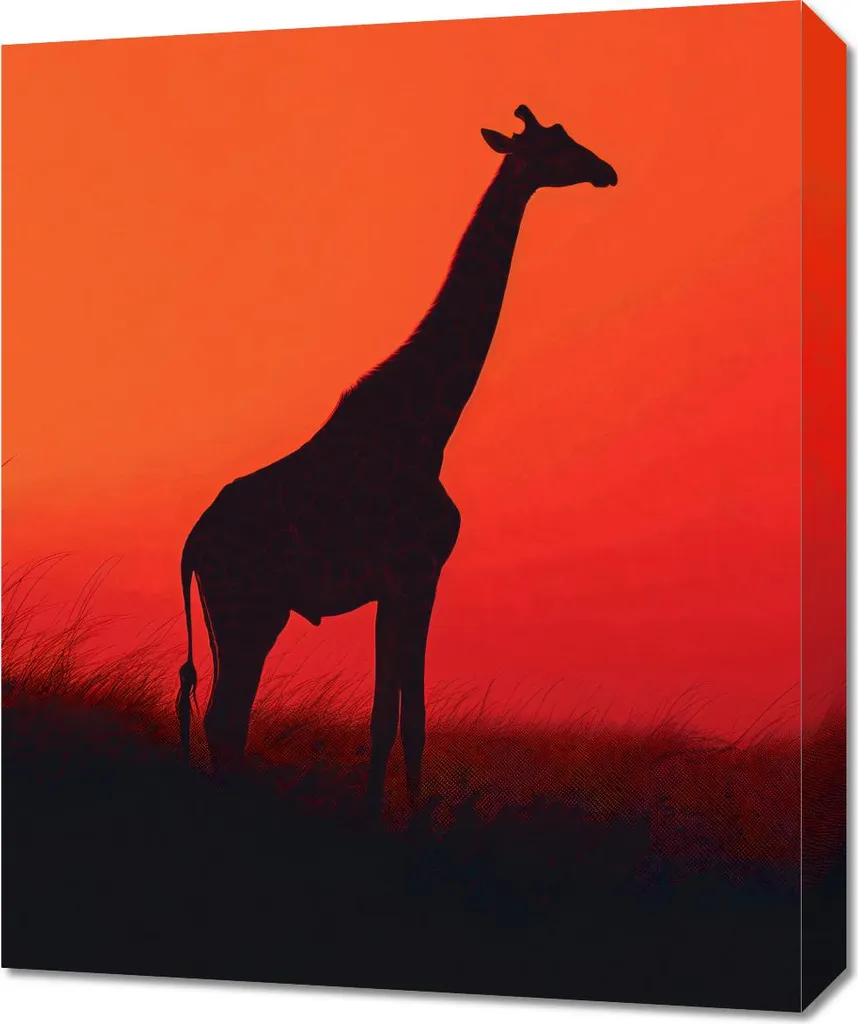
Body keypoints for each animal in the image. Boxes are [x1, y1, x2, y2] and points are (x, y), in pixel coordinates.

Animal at [177, 104, 617, 811]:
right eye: (556, 147)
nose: (606, 170)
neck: (431, 427)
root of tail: (192, 543)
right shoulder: (418, 573)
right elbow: (402, 721)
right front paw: (396, 824)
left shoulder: (399, 584)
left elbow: (397, 718)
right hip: (251, 608)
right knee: (225, 717)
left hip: (233, 613)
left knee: (225, 719)